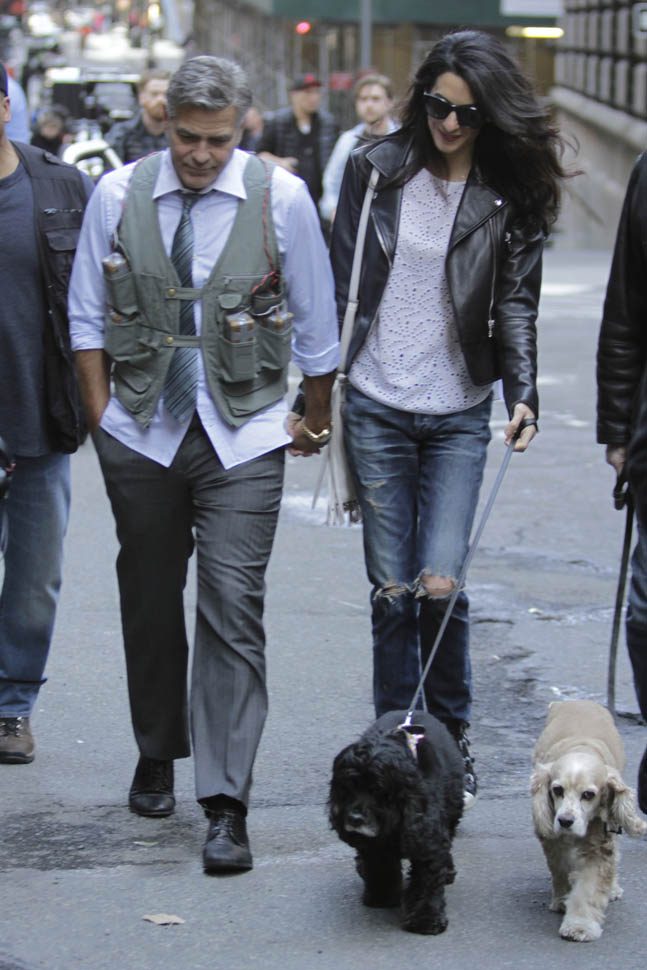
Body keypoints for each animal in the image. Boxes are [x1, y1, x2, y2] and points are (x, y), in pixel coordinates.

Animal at [328, 710, 464, 934]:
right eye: (347, 788)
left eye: (377, 790)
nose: (354, 819)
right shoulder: (374, 841)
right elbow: (381, 866)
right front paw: (382, 896)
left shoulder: (427, 834)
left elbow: (428, 876)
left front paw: (426, 918)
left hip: (453, 804)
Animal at [530, 700, 646, 942]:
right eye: (557, 790)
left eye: (588, 795)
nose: (565, 821)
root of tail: (577, 700)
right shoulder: (554, 841)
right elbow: (561, 868)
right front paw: (562, 900)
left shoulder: (600, 844)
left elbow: (589, 886)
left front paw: (579, 925)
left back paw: (612, 889)